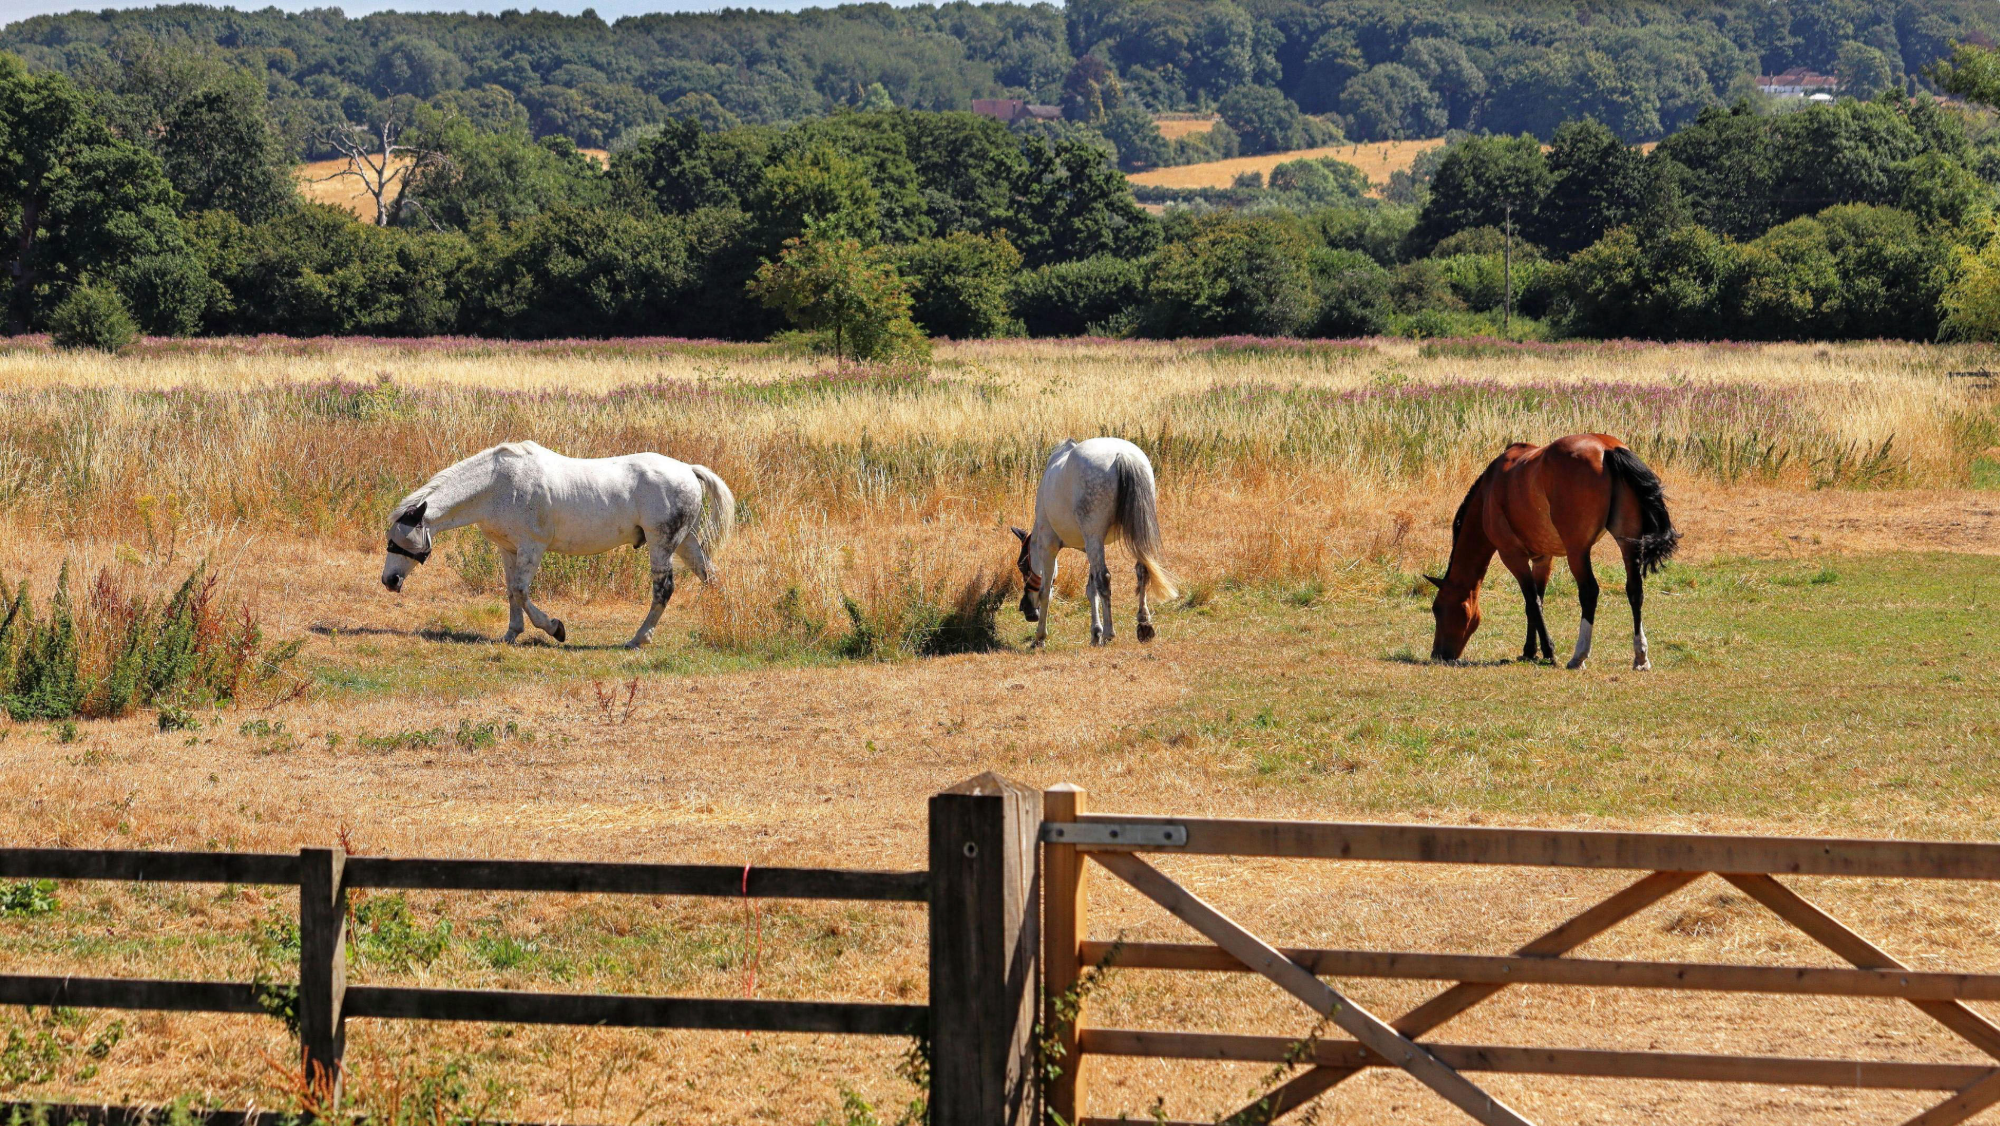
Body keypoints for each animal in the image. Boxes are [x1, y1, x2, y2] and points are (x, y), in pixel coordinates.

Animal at [381, 441, 734, 649]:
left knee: (663, 590)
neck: (496, 485)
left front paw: (555, 628)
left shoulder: (532, 547)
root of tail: (688, 470)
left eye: (399, 540)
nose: (389, 580)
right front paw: (511, 633)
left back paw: (638, 638)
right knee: (710, 575)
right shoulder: (508, 549)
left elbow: (521, 591)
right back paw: (723, 620)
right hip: (685, 541)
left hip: (662, 544)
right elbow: (511, 591)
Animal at [1012, 437, 1176, 648]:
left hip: (1094, 537)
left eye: (1022, 565)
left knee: (1105, 579)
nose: (1026, 609)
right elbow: (1091, 590)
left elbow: (1045, 591)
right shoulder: (1090, 546)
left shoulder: (1048, 546)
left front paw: (1040, 637)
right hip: (1131, 531)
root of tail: (1122, 455)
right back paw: (1143, 623)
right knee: (1142, 570)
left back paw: (1109, 633)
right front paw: (1095, 633)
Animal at [1427, 434, 1680, 670]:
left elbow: (1532, 602)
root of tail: (1607, 448)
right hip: (1628, 544)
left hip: (1577, 551)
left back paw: (1578, 657)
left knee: (1589, 592)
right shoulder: (1542, 559)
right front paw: (1530, 651)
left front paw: (1547, 652)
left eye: (1437, 609)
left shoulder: (1513, 556)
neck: (1489, 491)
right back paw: (1641, 657)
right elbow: (1535, 602)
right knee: (1635, 590)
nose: (1438, 655)